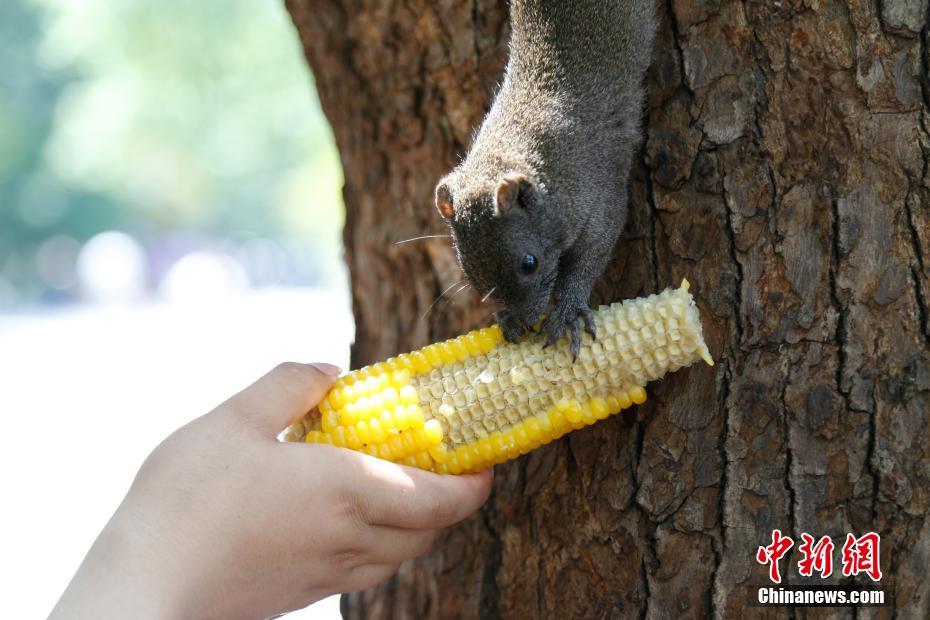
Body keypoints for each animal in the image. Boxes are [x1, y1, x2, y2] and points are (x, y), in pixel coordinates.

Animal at [434, 0, 652, 358]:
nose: (528, 322)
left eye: (529, 263)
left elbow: (594, 248)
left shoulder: (598, 185)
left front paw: (567, 309)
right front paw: (507, 320)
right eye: (469, 274)